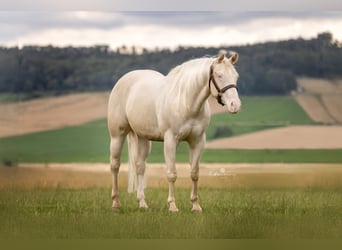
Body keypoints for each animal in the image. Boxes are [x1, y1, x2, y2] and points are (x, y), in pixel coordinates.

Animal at [107, 49, 240, 212]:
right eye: (219, 75)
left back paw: (142, 203)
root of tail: (123, 80)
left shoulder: (197, 141)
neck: (186, 102)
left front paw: (196, 205)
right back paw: (115, 203)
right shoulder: (170, 140)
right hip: (117, 135)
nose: (235, 105)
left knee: (140, 167)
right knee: (115, 166)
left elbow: (194, 173)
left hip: (143, 138)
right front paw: (172, 206)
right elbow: (172, 174)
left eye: (235, 76)